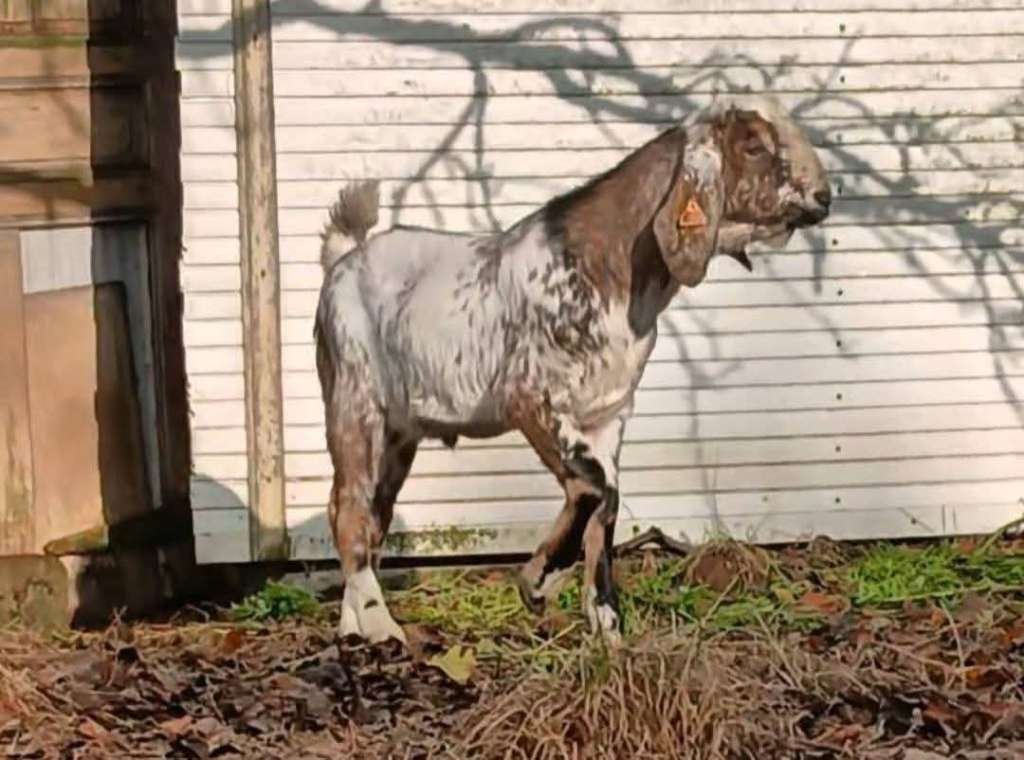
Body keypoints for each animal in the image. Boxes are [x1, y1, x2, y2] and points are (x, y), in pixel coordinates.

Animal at [314, 95, 831, 645]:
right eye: (753, 145)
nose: (825, 196)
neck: (613, 269)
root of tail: (343, 259)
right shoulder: (533, 398)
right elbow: (593, 485)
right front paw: (539, 582)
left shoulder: (608, 411)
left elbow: (608, 504)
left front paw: (608, 629)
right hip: (354, 401)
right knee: (350, 511)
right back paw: (380, 625)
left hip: (399, 432)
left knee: (368, 515)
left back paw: (353, 626)